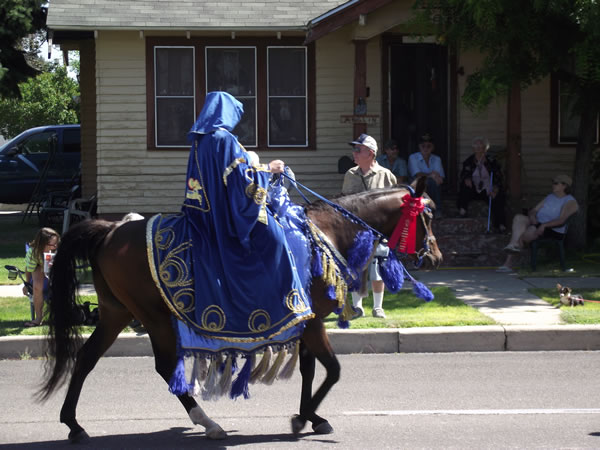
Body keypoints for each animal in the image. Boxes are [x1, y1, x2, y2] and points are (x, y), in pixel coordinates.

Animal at [37, 177, 440, 442]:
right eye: (429, 215)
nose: (435, 256)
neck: (326, 232)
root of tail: (110, 229)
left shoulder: (307, 323)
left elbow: (310, 369)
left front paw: (309, 416)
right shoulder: (312, 324)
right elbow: (333, 370)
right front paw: (305, 418)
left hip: (116, 312)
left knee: (86, 357)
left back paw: (73, 424)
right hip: (153, 316)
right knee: (165, 367)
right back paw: (208, 422)